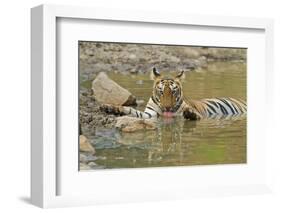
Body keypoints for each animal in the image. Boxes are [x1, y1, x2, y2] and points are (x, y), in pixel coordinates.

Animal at [100, 66, 245, 120]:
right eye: (161, 92)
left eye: (174, 92)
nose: (167, 108)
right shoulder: (149, 114)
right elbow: (131, 111)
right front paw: (110, 108)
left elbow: (194, 114)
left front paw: (190, 113)